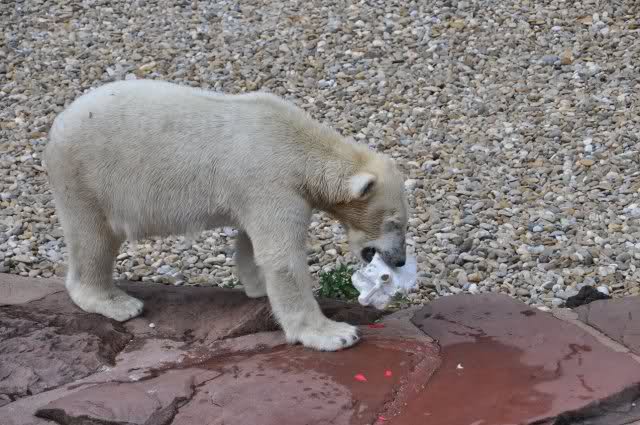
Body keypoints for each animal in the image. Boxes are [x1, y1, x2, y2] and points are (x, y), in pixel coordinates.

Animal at [44, 79, 408, 351]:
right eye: (393, 223)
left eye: (404, 223)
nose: (400, 260)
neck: (299, 145)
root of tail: (57, 125)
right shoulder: (272, 181)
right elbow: (282, 257)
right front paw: (336, 333)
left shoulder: (255, 192)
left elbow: (252, 245)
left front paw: (258, 286)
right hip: (87, 177)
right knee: (94, 239)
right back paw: (117, 303)